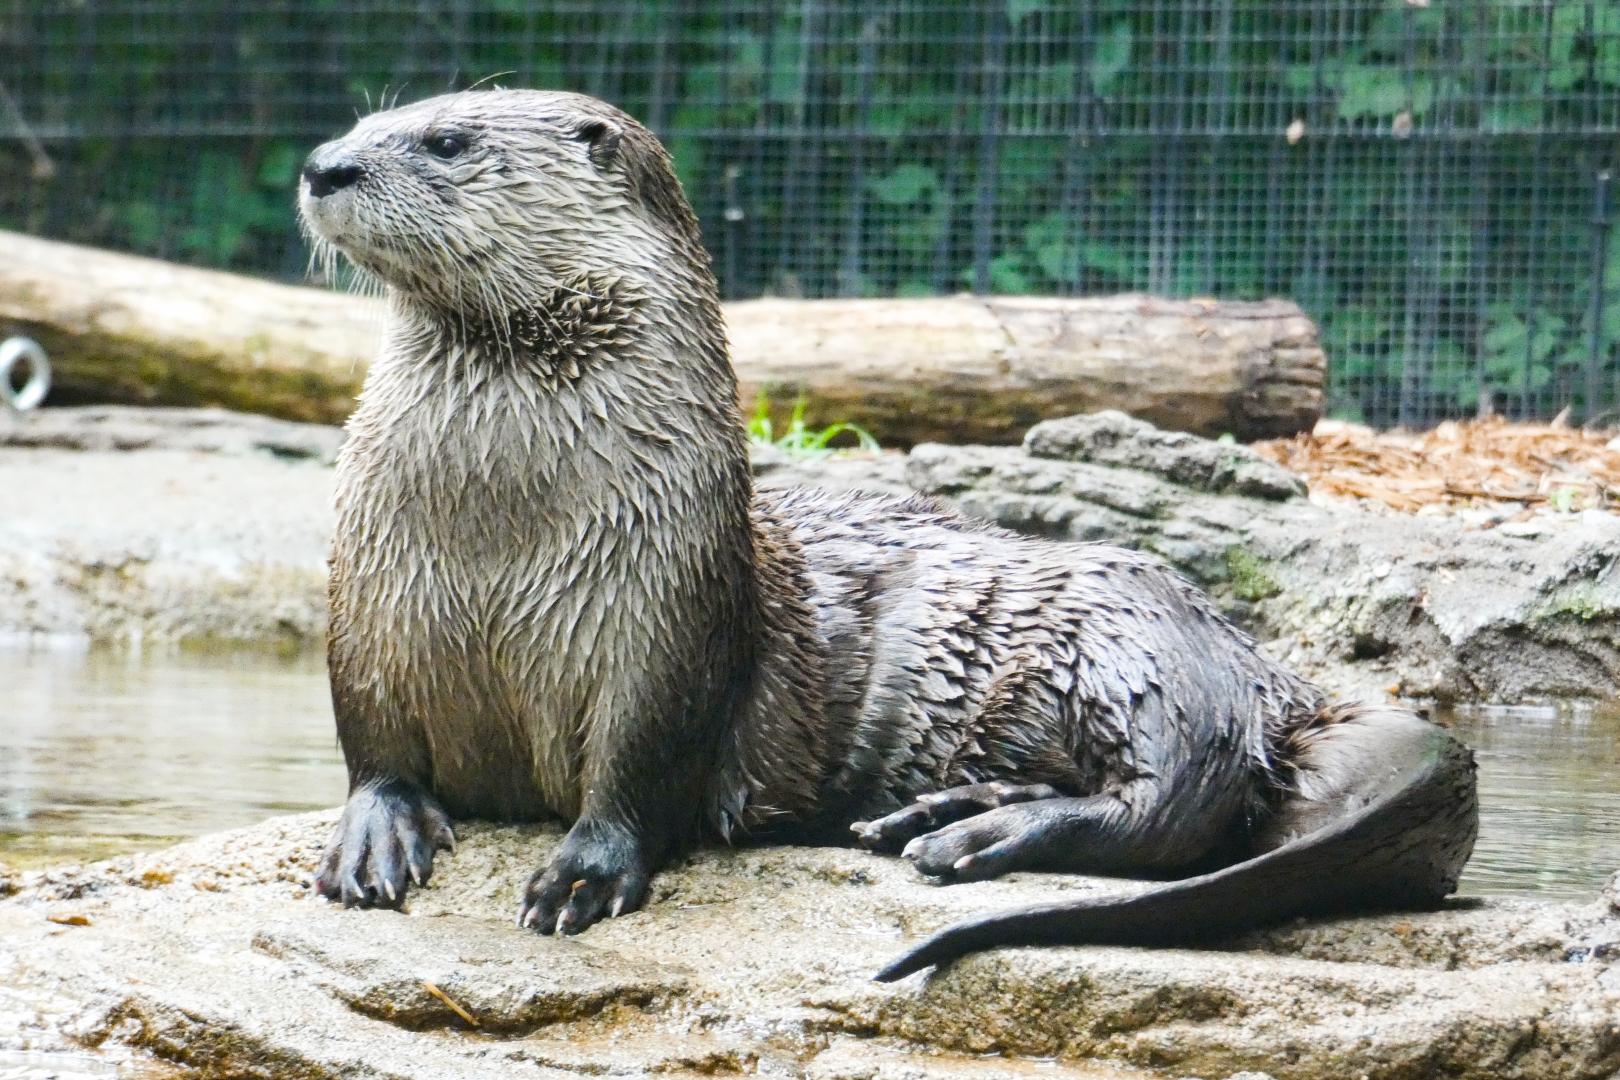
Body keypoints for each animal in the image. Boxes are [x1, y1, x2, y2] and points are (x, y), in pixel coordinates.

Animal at [298, 89, 1478, 981]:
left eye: (446, 141)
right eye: (369, 118)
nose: (322, 166)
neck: (500, 534)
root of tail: (1276, 681)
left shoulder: (669, 610)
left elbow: (641, 767)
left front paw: (582, 872)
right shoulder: (367, 592)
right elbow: (372, 740)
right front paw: (376, 833)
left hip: (1132, 651)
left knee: (1170, 808)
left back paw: (973, 834)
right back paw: (944, 812)